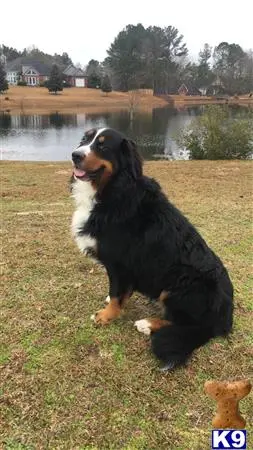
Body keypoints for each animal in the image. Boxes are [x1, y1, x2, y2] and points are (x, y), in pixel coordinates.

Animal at [70, 127, 233, 370]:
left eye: (102, 146)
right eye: (84, 139)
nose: (75, 155)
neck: (114, 190)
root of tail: (224, 317)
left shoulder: (119, 263)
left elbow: (116, 292)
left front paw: (106, 315)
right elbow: (121, 292)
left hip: (180, 282)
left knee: (184, 324)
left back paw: (147, 324)